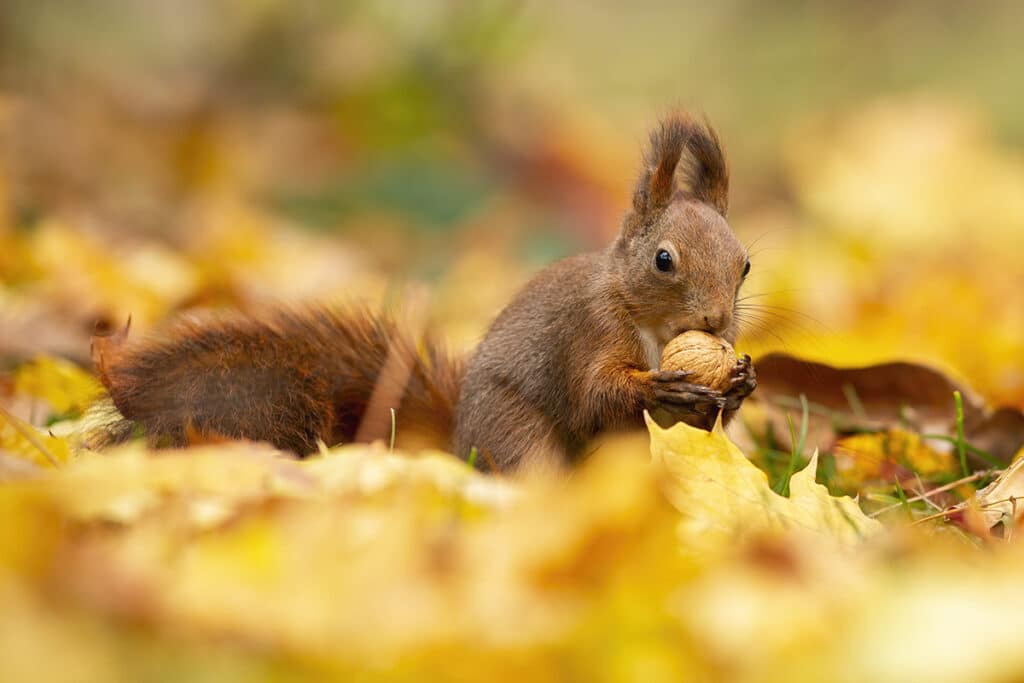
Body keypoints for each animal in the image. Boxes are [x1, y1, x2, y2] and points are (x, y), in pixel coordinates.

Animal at [92, 113, 757, 475]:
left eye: (746, 265)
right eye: (664, 260)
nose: (717, 323)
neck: (654, 329)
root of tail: (455, 441)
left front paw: (741, 383)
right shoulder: (585, 332)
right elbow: (594, 395)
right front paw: (660, 386)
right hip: (514, 432)